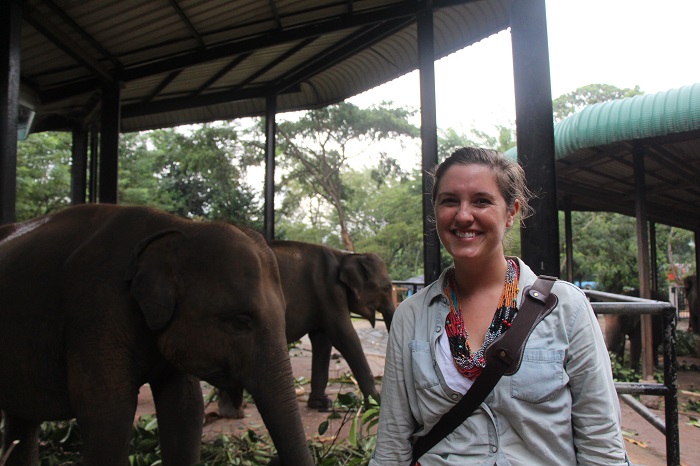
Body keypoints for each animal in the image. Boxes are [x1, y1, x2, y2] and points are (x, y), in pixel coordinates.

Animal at [0, 206, 312, 466]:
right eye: (241, 321)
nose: (271, 458)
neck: (178, 228)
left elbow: (185, 409)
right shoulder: (93, 311)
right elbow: (108, 414)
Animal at [217, 240, 394, 418]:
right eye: (387, 288)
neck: (345, 255)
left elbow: (322, 341)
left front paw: (321, 404)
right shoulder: (329, 290)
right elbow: (344, 336)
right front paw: (376, 406)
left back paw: (230, 412)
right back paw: (234, 412)